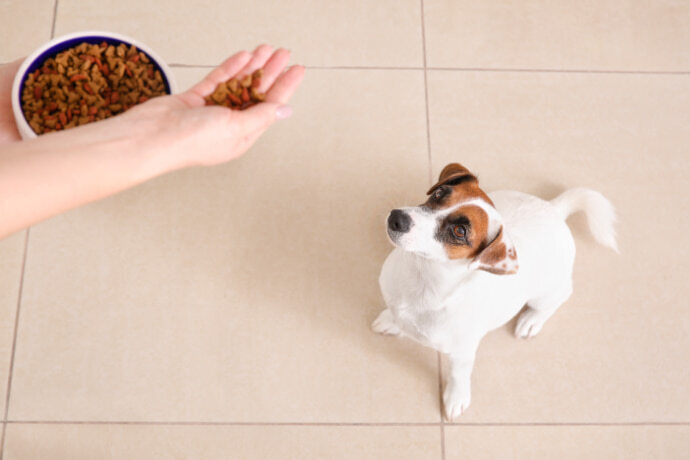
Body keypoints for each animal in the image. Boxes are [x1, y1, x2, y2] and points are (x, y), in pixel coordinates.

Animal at [374, 163, 616, 420]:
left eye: (459, 231)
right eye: (439, 193)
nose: (397, 218)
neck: (422, 279)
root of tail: (554, 209)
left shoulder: (462, 352)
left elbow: (459, 375)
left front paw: (456, 398)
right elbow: (395, 315)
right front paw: (391, 321)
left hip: (546, 292)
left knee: (560, 296)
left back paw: (532, 320)